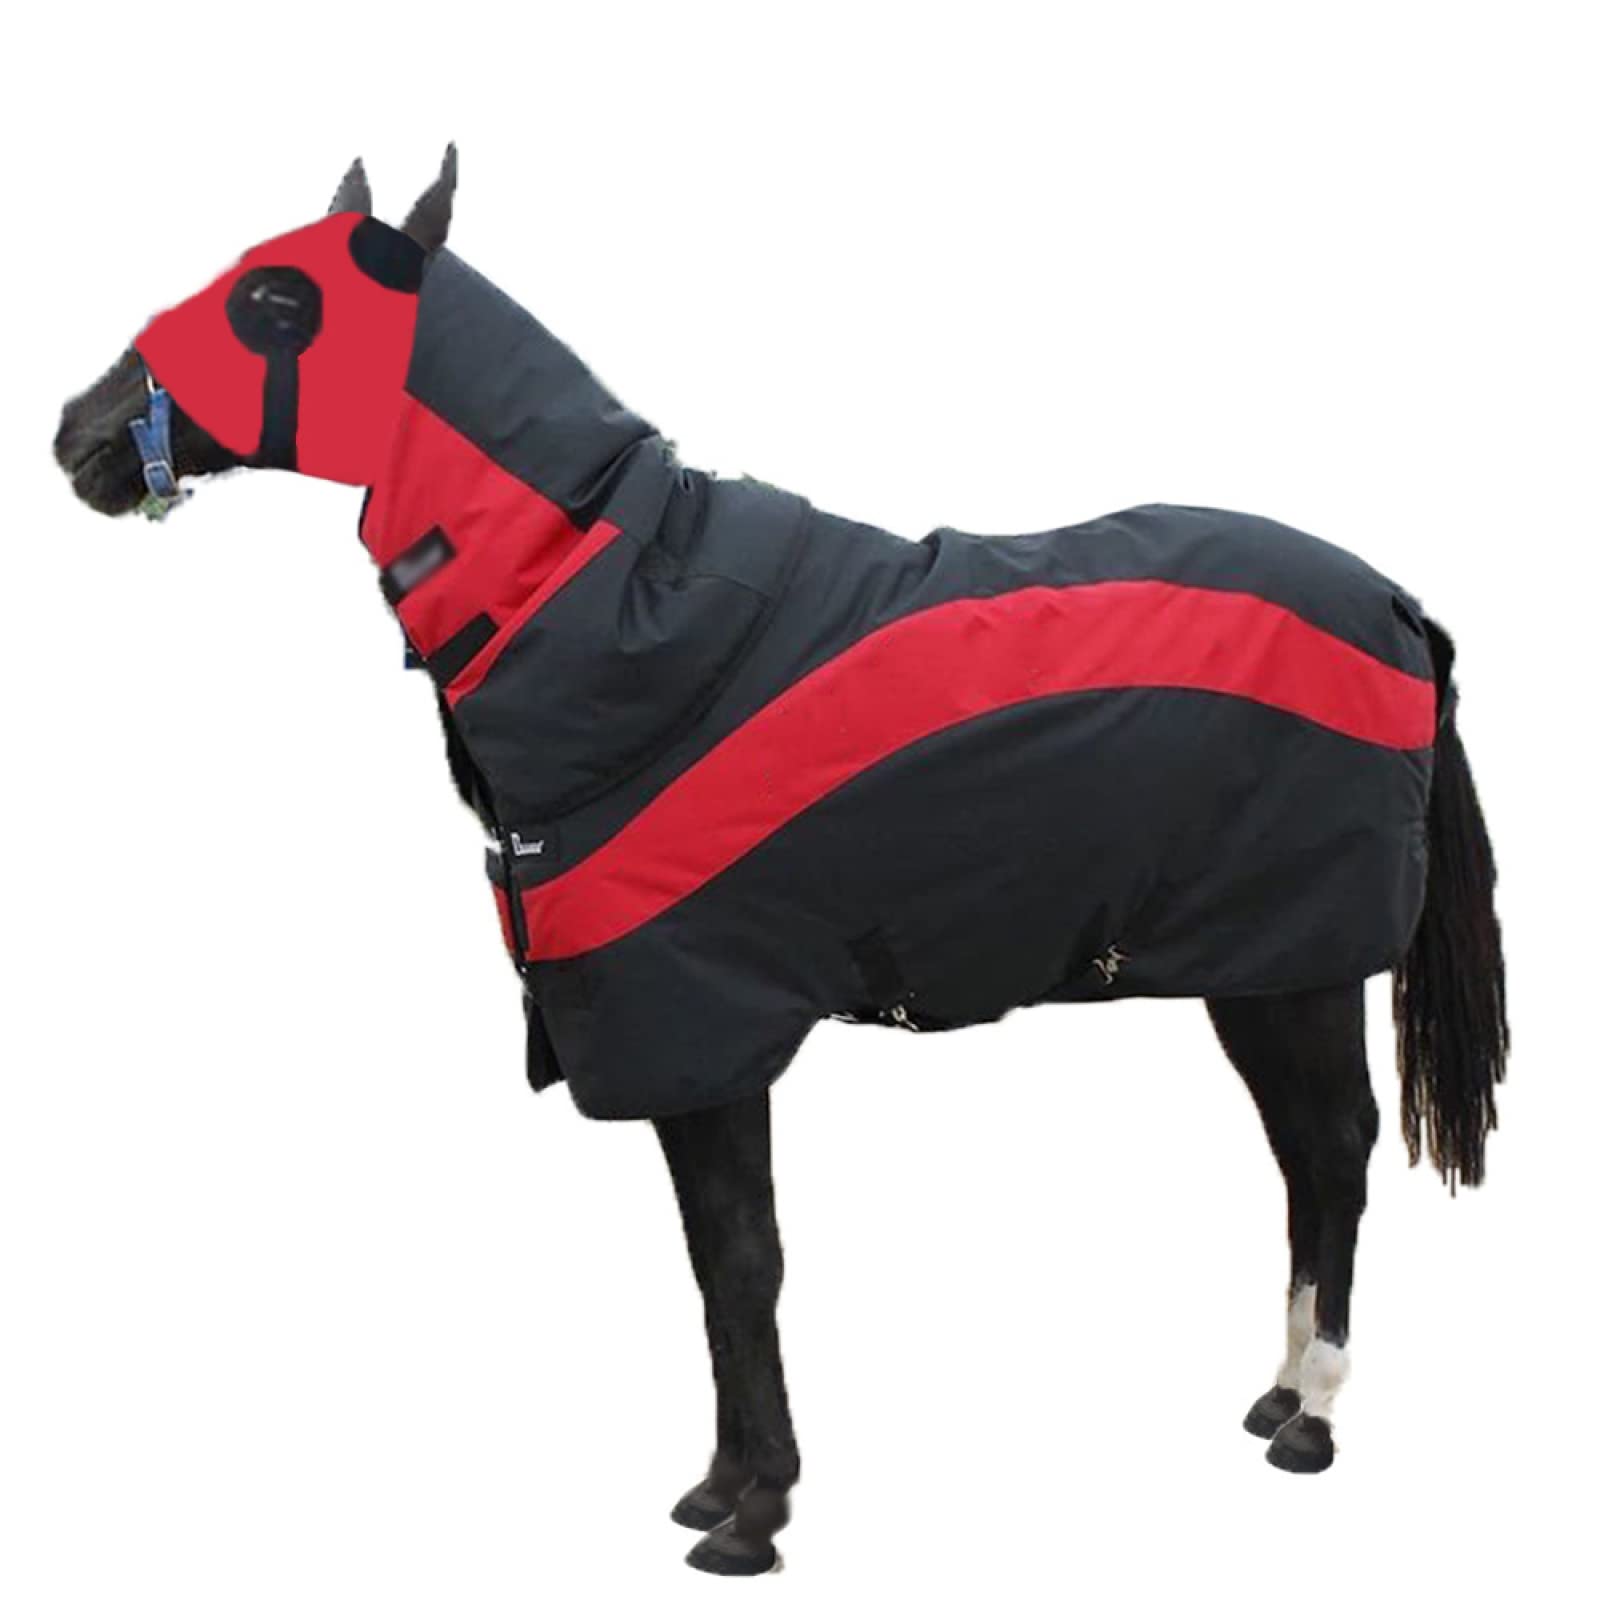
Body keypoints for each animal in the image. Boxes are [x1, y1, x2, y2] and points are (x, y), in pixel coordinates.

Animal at [52, 149, 1509, 1578]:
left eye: (276, 303)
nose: (78, 435)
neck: (632, 616)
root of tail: (1394, 602)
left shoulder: (705, 1024)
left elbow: (744, 1260)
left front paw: (756, 1512)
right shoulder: (681, 1036)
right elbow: (711, 1263)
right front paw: (719, 1483)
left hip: (1299, 966)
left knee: (1334, 1148)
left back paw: (1312, 1418)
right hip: (1250, 971)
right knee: (1302, 1157)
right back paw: (1276, 1392)